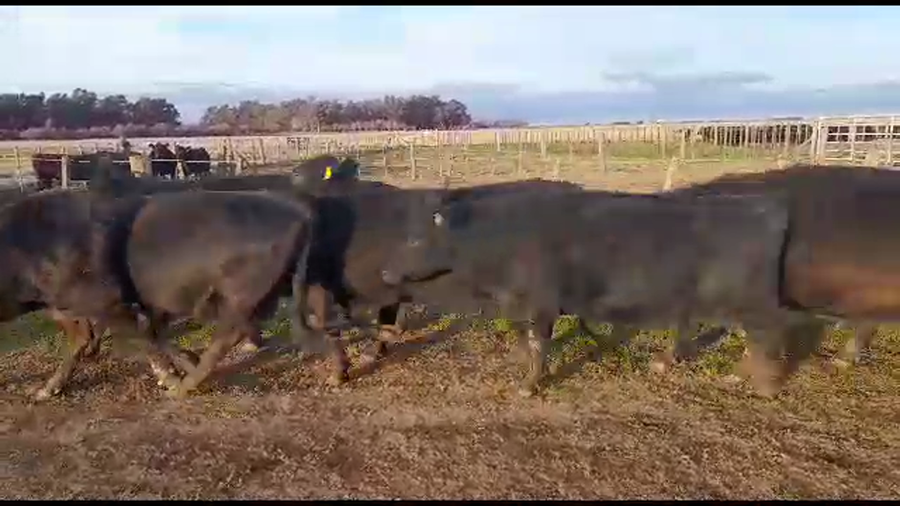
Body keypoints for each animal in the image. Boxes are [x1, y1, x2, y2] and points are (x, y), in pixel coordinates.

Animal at [381, 189, 819, 398]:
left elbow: (538, 346)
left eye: (415, 239)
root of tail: (764, 205)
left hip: (752, 303)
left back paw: (762, 386)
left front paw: (530, 383)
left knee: (766, 336)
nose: (385, 271)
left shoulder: (541, 304)